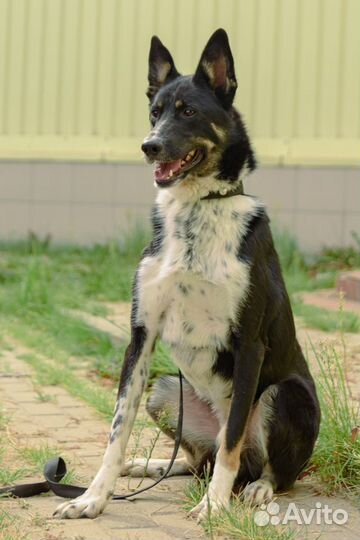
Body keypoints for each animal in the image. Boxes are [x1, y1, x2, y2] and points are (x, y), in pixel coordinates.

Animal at [54, 28, 320, 520]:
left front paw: (215, 506)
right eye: (154, 112)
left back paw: (258, 488)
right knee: (200, 458)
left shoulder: (250, 344)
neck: (197, 210)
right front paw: (91, 498)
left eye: (189, 112)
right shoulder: (141, 336)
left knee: (261, 463)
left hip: (284, 395)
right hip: (165, 389)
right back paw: (151, 466)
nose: (149, 146)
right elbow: (116, 431)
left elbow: (233, 436)